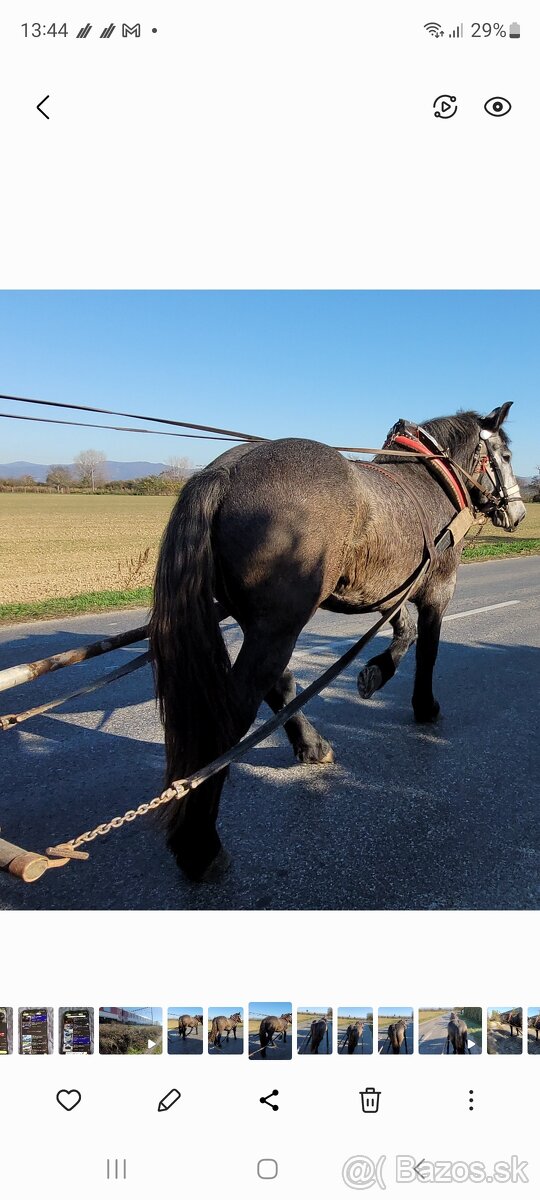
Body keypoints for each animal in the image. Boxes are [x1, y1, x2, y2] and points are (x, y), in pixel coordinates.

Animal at [150, 408, 523, 878]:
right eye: (505, 455)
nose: (519, 511)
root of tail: (225, 470)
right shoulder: (437, 588)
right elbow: (428, 650)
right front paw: (425, 706)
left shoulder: (390, 590)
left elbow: (405, 632)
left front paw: (375, 673)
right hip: (280, 623)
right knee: (236, 709)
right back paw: (200, 844)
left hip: (260, 621)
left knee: (277, 683)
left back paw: (312, 746)